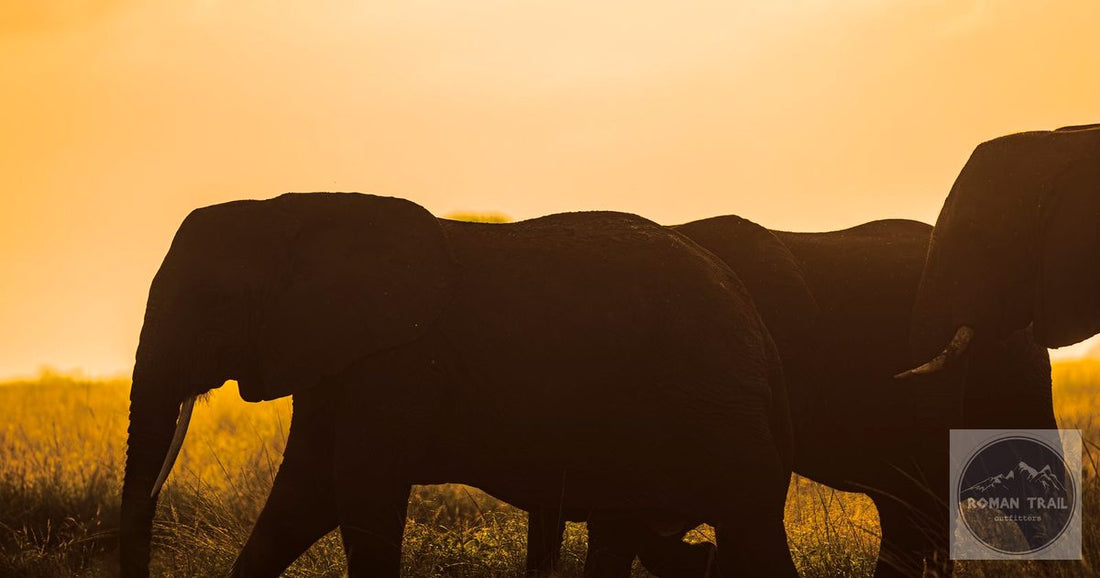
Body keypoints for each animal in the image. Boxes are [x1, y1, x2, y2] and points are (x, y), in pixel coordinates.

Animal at [119, 192, 799, 577]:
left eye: (215, 300)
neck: (293, 211)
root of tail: (758, 328)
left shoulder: (398, 362)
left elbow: (356, 490)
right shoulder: (337, 355)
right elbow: (303, 495)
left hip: (715, 404)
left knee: (751, 524)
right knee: (629, 528)